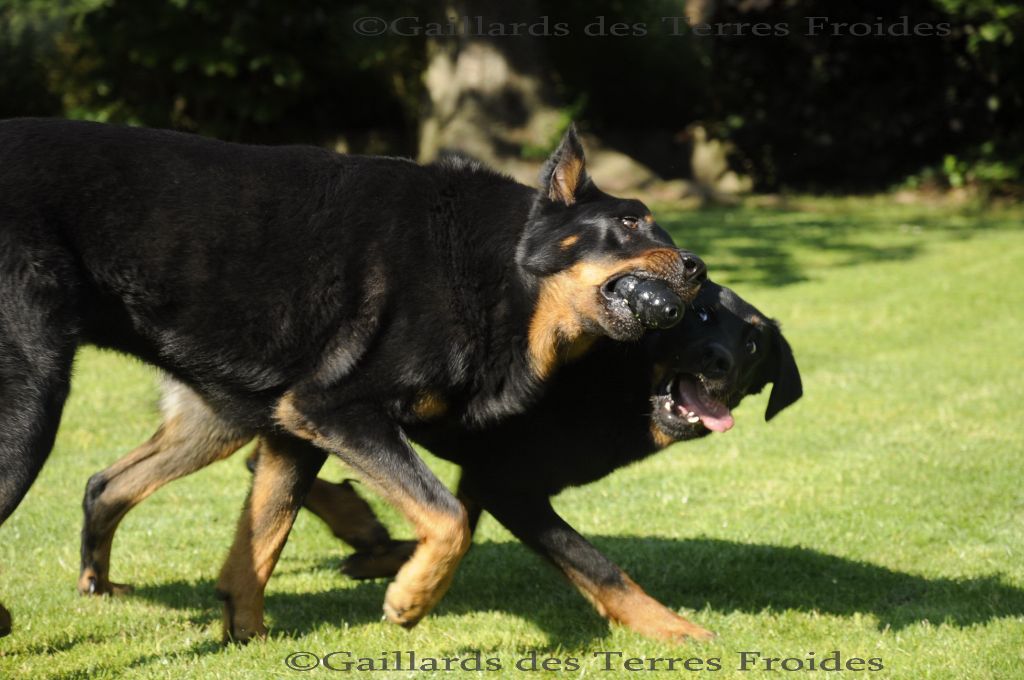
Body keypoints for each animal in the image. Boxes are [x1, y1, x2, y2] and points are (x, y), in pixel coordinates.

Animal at [0, 118, 704, 639]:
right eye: (630, 223)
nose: (698, 267)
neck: (495, 268)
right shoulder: (336, 410)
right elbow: (448, 516)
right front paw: (411, 598)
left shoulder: (293, 427)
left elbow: (261, 540)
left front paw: (248, 637)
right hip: (33, 406)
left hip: (218, 417)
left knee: (106, 485)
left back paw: (99, 587)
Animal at [81, 278, 798, 639]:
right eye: (698, 318)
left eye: (754, 344)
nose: (721, 362)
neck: (616, 377)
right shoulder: (511, 486)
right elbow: (596, 565)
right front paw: (671, 628)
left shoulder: (484, 475)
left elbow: (454, 523)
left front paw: (401, 573)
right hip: (241, 412)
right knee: (253, 468)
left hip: (226, 420)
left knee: (109, 482)